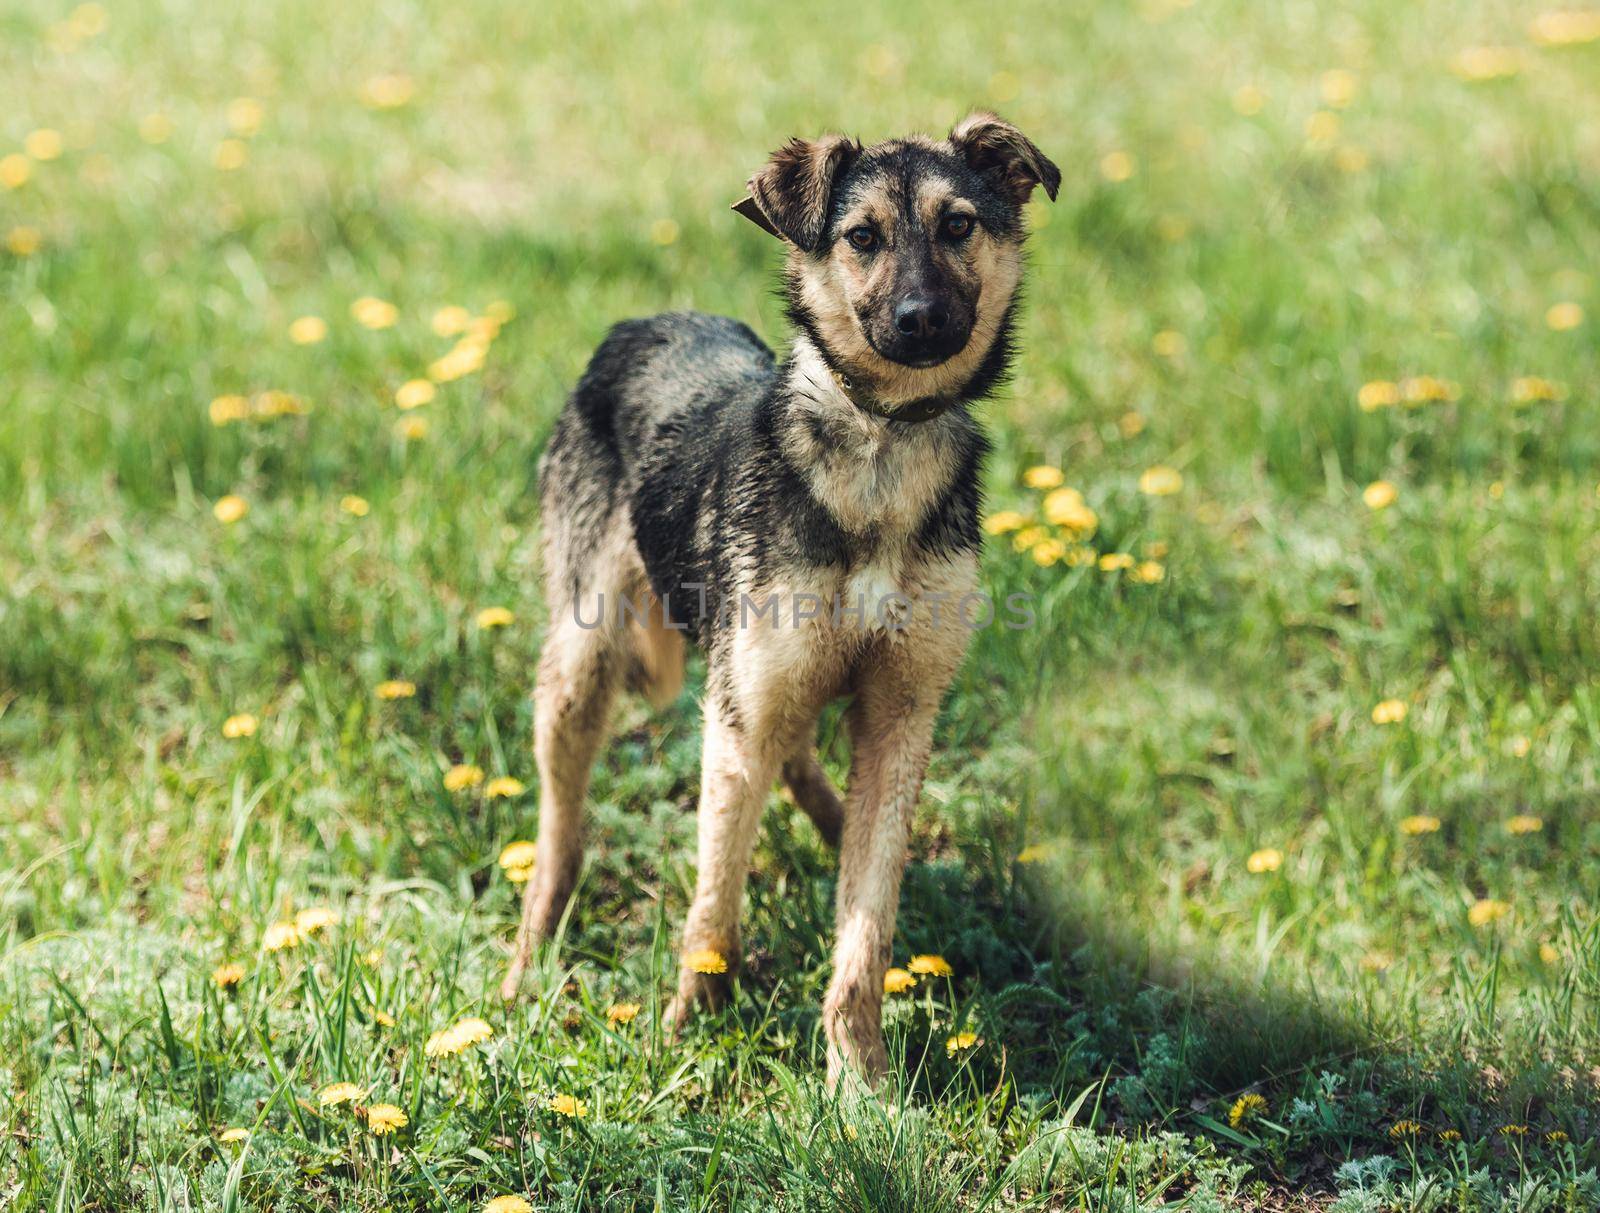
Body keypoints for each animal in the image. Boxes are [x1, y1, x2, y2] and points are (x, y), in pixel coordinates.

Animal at [492, 112, 1056, 1081]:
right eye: (861, 236)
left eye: (958, 225)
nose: (921, 319)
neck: (879, 444)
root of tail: (644, 320)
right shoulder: (740, 716)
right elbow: (713, 902)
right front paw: (693, 1030)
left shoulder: (902, 713)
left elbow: (866, 921)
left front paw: (859, 1074)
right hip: (581, 665)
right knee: (562, 838)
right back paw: (527, 964)